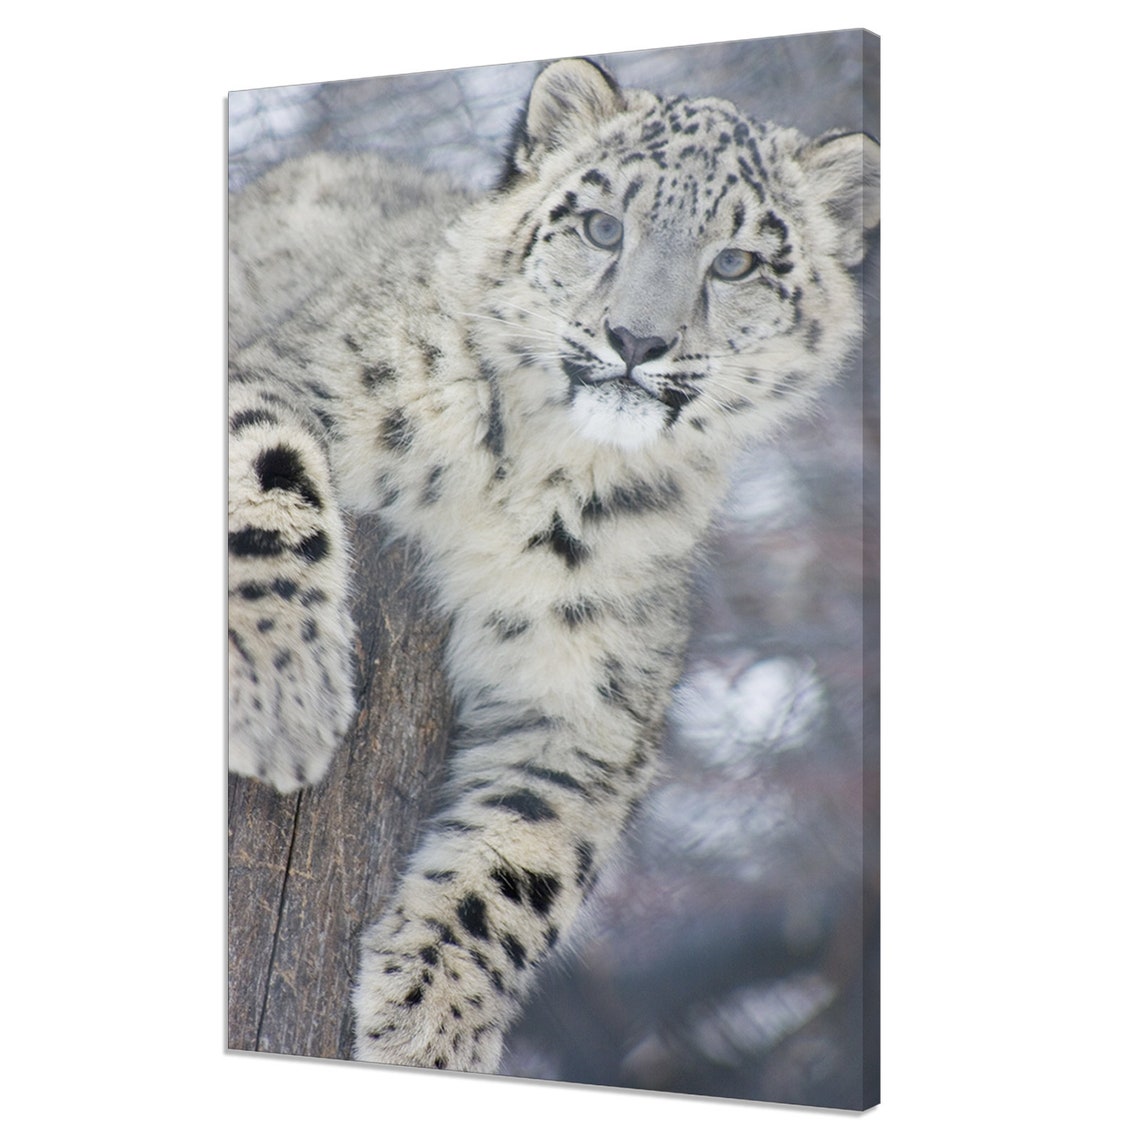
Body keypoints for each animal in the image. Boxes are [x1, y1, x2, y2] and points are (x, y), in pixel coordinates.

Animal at [228, 56, 879, 1075]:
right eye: (602, 225)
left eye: (736, 262)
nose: (637, 341)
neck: (540, 469)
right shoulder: (276, 379)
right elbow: (272, 477)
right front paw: (282, 702)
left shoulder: (590, 698)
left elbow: (523, 858)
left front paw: (430, 1026)